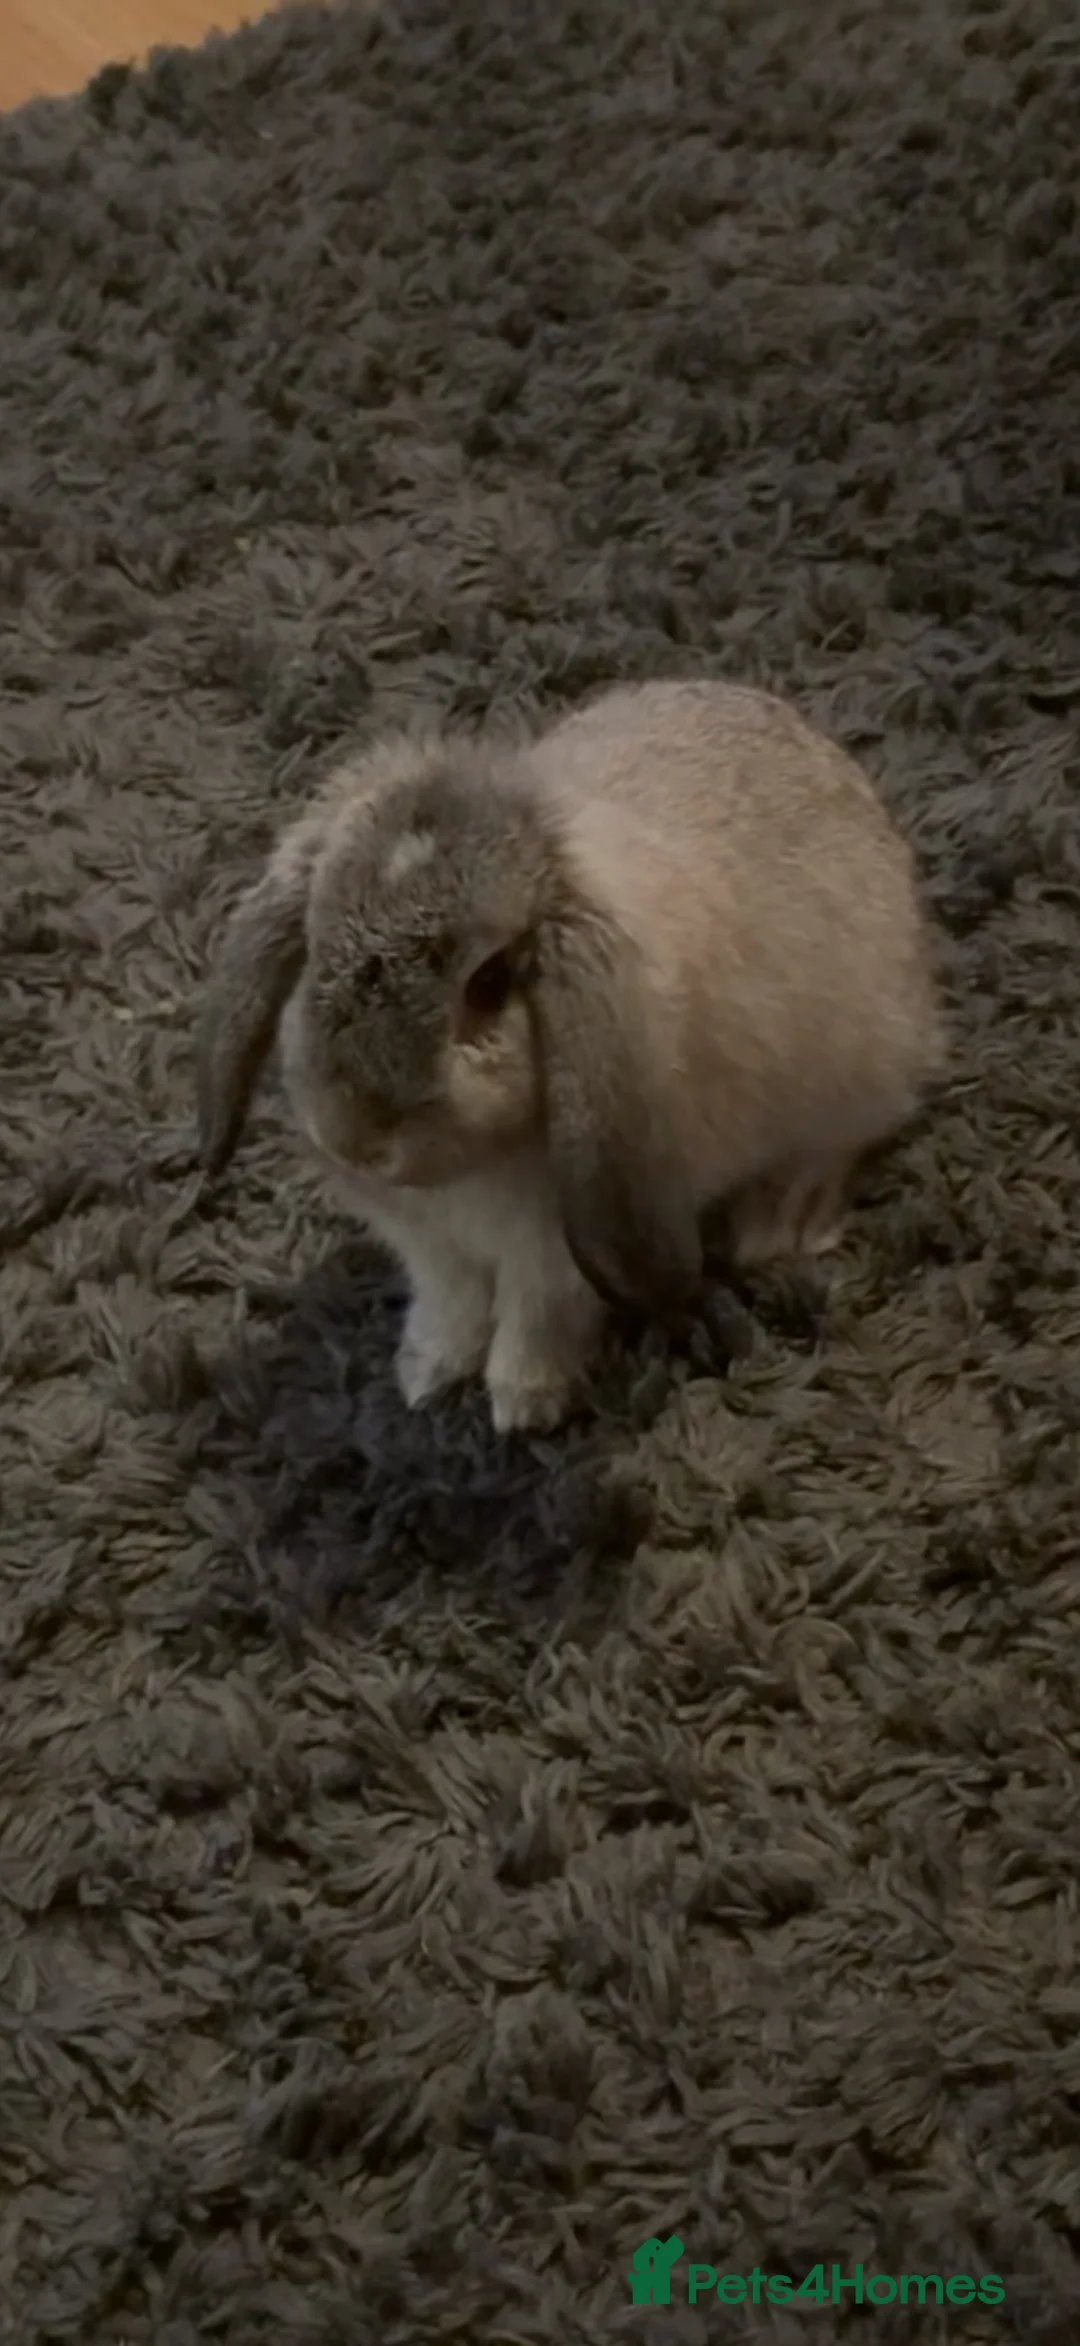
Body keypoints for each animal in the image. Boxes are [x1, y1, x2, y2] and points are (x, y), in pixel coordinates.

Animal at [194, 677, 941, 1433]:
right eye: (315, 945)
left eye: (490, 983)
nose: (356, 1139)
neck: (468, 1173)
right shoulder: (435, 1252)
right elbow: (451, 1306)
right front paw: (425, 1376)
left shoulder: (554, 1256)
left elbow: (539, 1320)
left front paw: (524, 1406)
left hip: (856, 1068)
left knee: (842, 1141)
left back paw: (780, 1221)